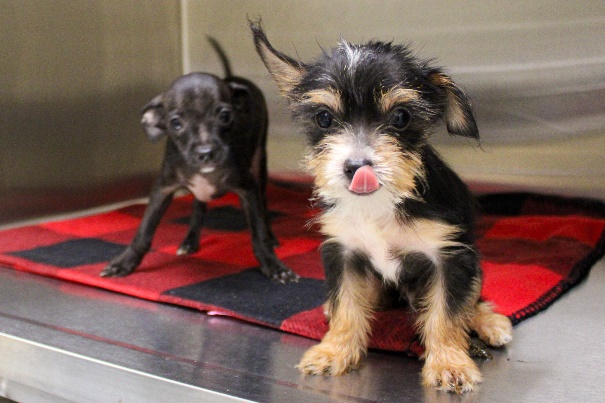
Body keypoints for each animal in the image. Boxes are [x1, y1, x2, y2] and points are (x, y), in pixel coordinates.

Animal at [102, 38, 298, 284]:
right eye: (176, 123)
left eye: (225, 116)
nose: (206, 153)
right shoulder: (163, 189)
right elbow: (144, 230)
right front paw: (125, 263)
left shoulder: (248, 188)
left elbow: (258, 231)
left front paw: (272, 264)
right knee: (198, 206)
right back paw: (190, 241)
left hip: (259, 162)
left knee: (263, 203)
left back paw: (271, 236)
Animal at [249, 20, 510, 392]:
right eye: (324, 119)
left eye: (400, 117)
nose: (357, 167)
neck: (379, 206)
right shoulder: (343, 253)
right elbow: (347, 306)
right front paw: (334, 351)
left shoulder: (450, 258)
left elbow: (446, 315)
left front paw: (450, 364)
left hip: (474, 265)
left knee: (474, 299)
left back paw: (490, 323)